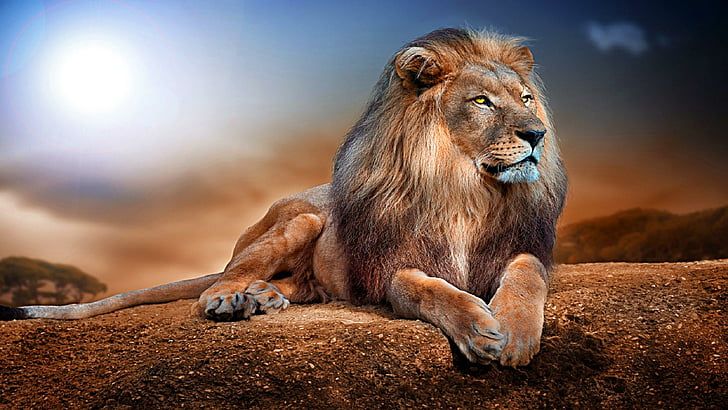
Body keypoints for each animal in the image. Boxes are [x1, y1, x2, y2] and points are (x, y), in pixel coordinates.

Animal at [0, 28, 566, 367]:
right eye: (482, 101)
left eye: (527, 98)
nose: (537, 134)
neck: (466, 190)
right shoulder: (390, 268)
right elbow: (431, 290)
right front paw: (479, 328)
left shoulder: (519, 247)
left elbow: (527, 275)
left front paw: (515, 334)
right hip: (302, 221)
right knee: (221, 280)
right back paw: (232, 298)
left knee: (293, 286)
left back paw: (264, 298)